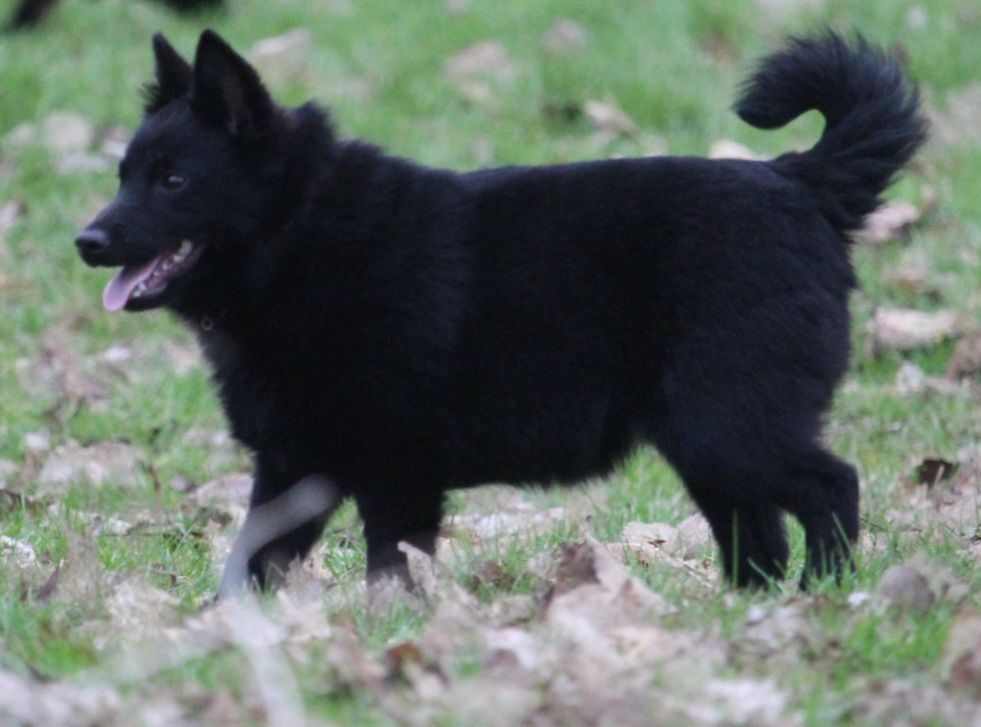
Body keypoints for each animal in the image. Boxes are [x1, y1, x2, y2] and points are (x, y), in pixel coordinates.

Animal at [78, 31, 928, 596]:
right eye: (123, 174)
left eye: (174, 180)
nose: (86, 240)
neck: (299, 231)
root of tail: (799, 181)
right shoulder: (293, 465)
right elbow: (252, 560)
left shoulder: (395, 471)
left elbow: (390, 566)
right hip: (708, 440)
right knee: (759, 533)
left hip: (728, 423)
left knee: (832, 486)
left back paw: (827, 593)